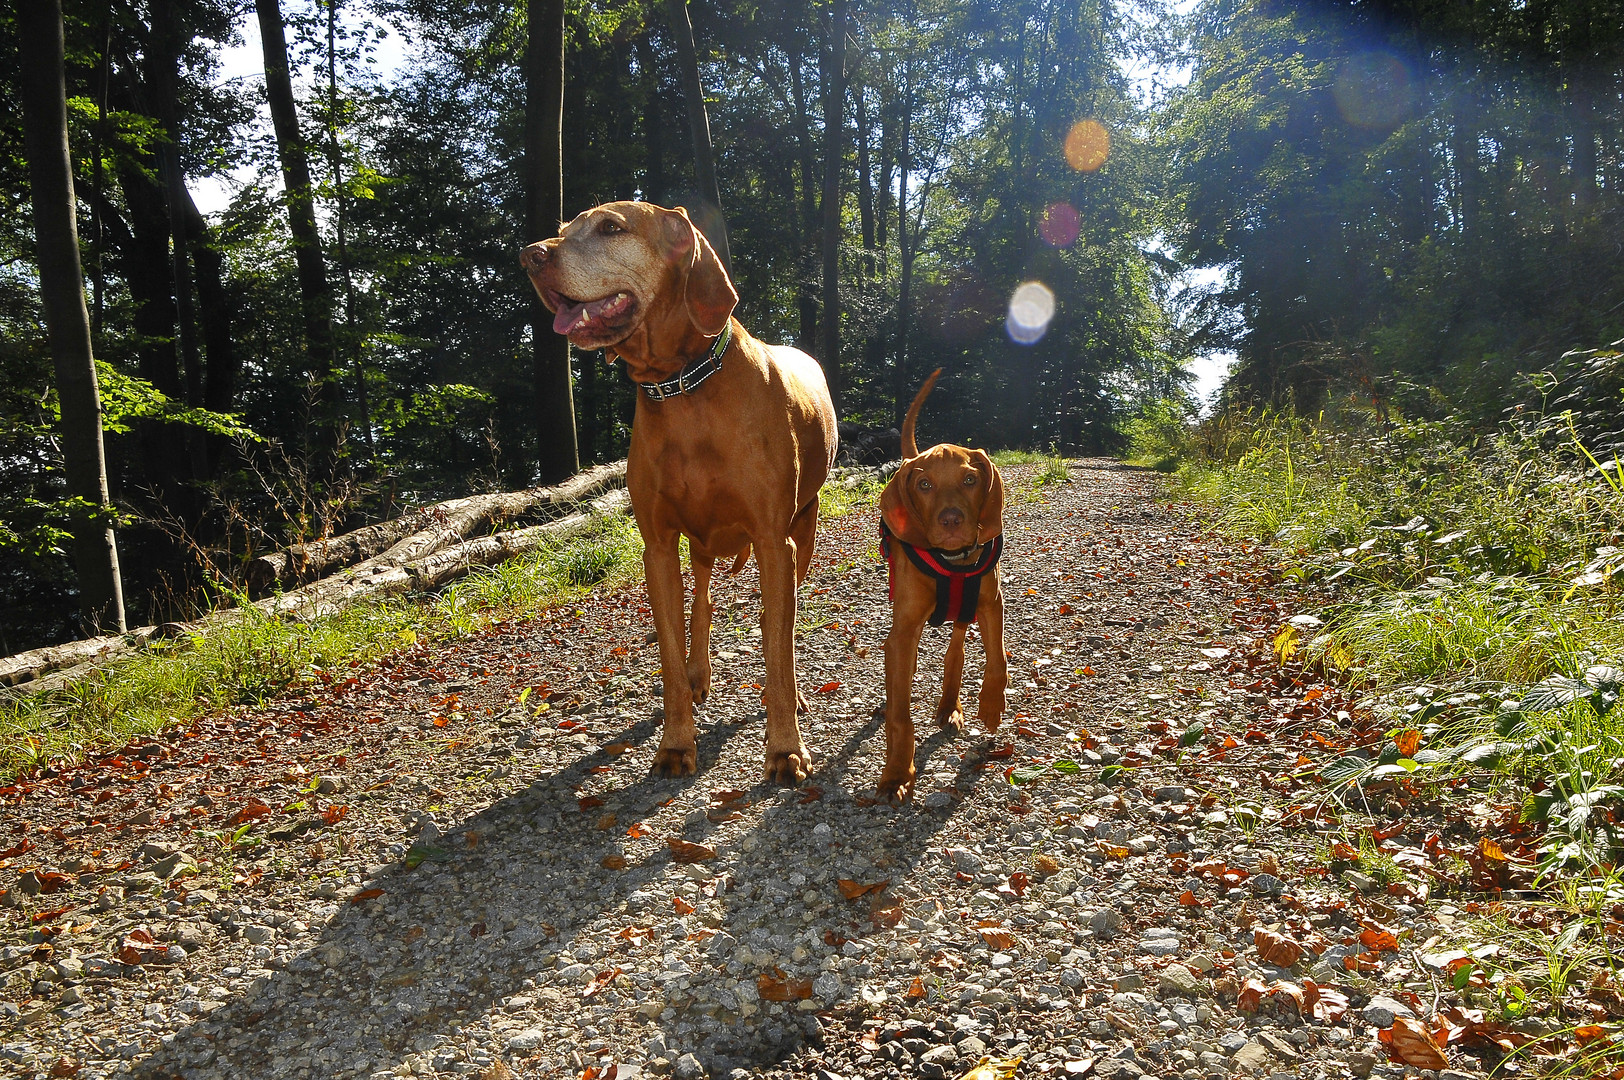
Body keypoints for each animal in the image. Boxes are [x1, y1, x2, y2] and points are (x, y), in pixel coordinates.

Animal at [519, 198, 837, 779]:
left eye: (610, 227)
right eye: (562, 229)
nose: (530, 256)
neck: (684, 387)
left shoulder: (772, 540)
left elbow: (778, 647)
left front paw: (785, 747)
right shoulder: (660, 547)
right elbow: (669, 649)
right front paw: (675, 741)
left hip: (803, 528)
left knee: (782, 616)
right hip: (703, 544)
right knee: (705, 602)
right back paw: (698, 675)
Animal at [876, 370, 1000, 799]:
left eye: (970, 479)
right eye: (925, 485)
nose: (951, 521)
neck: (953, 563)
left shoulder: (991, 603)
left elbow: (998, 659)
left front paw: (991, 705)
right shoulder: (903, 630)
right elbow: (900, 714)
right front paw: (898, 773)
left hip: (965, 612)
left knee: (955, 652)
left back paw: (950, 705)